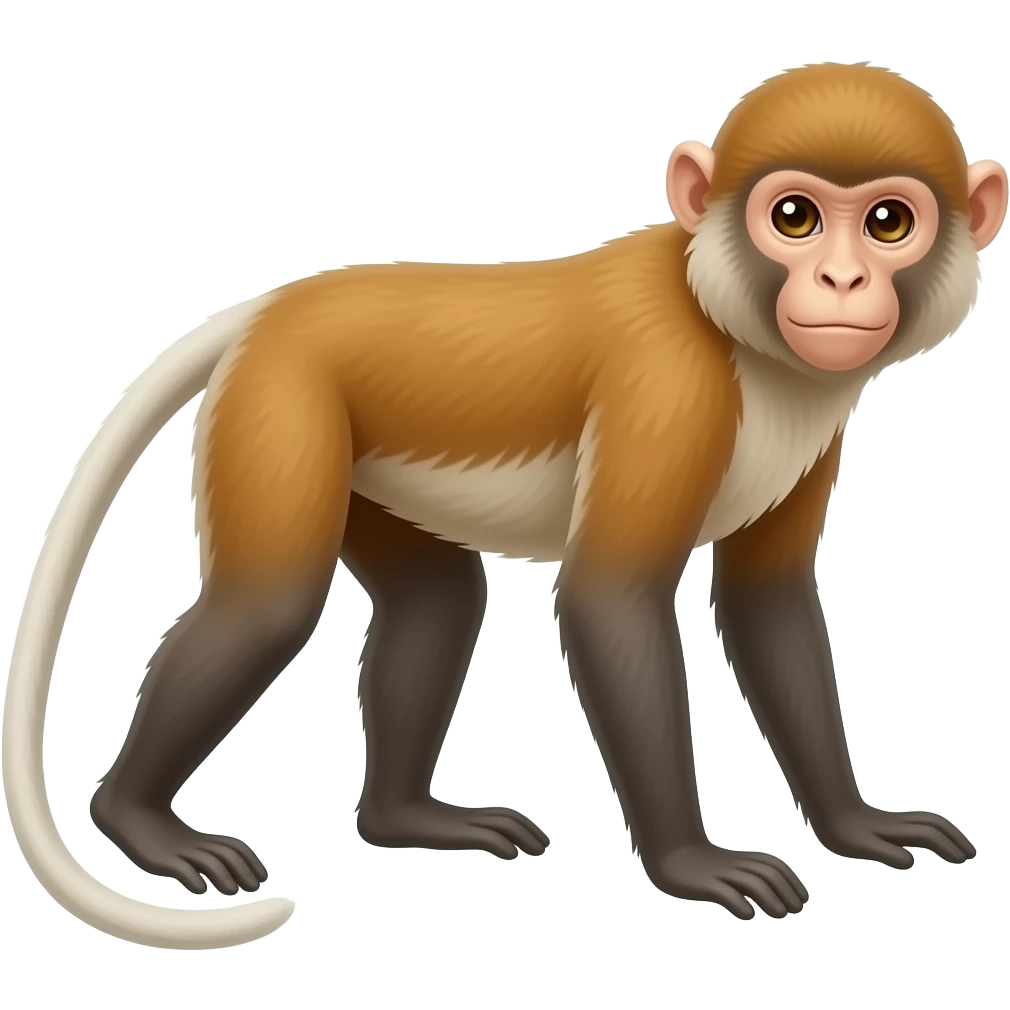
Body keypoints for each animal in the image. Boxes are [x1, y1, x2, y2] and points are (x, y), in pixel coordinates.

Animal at [3, 62, 1006, 949]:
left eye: (886, 221)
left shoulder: (820, 415)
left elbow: (767, 605)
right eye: (794, 217)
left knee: (437, 598)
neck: (734, 323)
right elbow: (610, 600)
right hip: (281, 403)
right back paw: (136, 817)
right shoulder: (667, 384)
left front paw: (852, 823)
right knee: (268, 605)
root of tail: (274, 310)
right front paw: (690, 863)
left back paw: (404, 818)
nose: (842, 282)